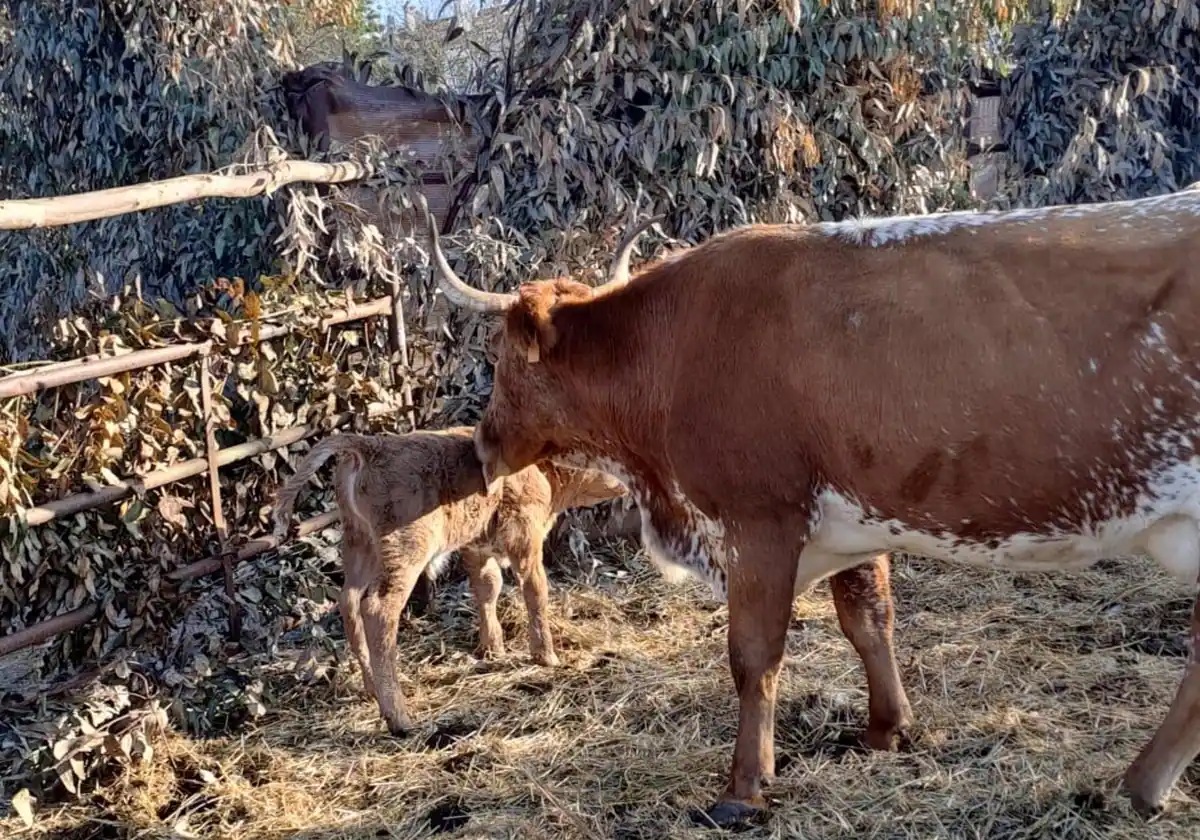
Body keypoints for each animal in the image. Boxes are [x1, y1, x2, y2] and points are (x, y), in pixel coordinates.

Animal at [415, 188, 1200, 820]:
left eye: (502, 360)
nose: (481, 444)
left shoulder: (758, 519)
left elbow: (754, 654)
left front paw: (743, 788)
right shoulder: (854, 518)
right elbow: (867, 620)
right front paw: (886, 729)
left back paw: (1140, 785)